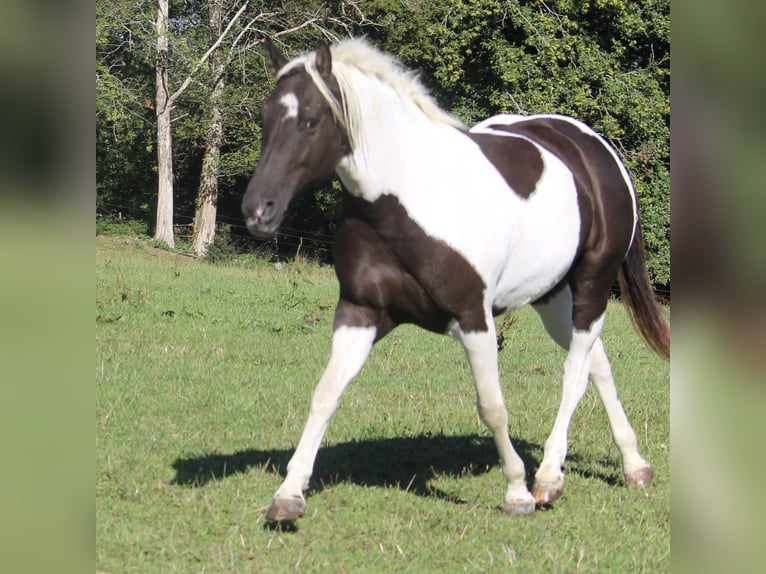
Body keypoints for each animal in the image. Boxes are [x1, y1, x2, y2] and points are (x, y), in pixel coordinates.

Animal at [243, 35, 668, 520]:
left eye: (311, 121)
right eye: (265, 116)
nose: (258, 210)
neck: (406, 199)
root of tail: (596, 148)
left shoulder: (473, 318)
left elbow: (492, 406)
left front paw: (517, 492)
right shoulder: (360, 312)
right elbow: (325, 393)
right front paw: (289, 494)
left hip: (593, 283)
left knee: (575, 372)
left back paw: (548, 478)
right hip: (552, 297)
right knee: (598, 363)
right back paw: (634, 465)